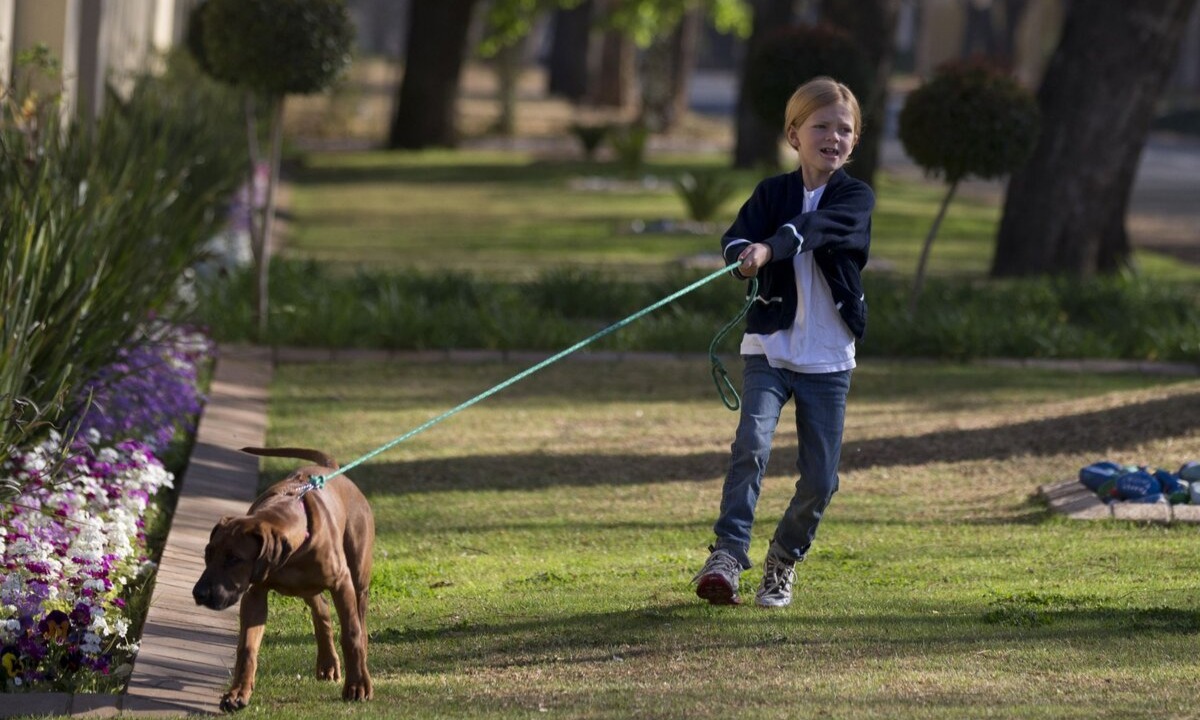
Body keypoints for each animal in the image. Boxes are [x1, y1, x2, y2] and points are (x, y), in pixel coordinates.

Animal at [193, 446, 374, 710]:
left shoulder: (341, 583)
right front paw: (238, 693)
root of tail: (331, 468)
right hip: (308, 586)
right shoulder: (255, 593)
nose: (199, 594)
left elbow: (351, 635)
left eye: (234, 558)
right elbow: (247, 647)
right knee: (321, 609)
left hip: (357, 578)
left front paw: (357, 685)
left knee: (359, 622)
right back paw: (328, 662)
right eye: (208, 552)